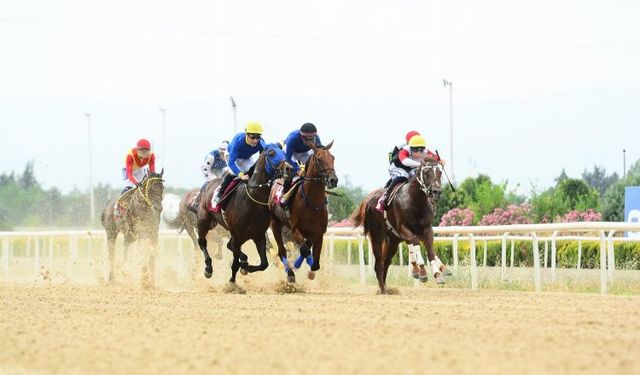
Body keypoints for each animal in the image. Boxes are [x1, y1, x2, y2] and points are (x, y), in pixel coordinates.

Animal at [196, 145, 294, 286]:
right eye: (271, 153)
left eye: (283, 151)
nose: (289, 168)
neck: (252, 201)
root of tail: (208, 183)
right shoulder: (237, 236)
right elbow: (235, 264)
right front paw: (231, 283)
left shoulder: (259, 236)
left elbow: (264, 264)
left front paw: (245, 267)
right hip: (204, 221)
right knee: (202, 242)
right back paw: (208, 268)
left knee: (228, 245)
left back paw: (243, 260)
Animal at [270, 142, 340, 284]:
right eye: (319, 159)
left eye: (333, 158)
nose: (333, 180)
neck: (311, 203)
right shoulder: (295, 230)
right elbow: (304, 250)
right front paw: (296, 267)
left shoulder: (319, 233)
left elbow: (314, 261)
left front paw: (311, 271)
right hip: (276, 224)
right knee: (282, 251)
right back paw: (290, 272)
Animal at [350, 157, 450, 296]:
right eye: (426, 173)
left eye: (440, 172)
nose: (437, 191)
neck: (415, 201)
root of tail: (368, 199)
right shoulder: (403, 229)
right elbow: (415, 242)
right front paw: (422, 272)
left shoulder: (426, 229)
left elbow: (430, 250)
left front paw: (438, 274)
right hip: (377, 236)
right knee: (379, 263)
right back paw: (383, 289)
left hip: (393, 241)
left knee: (386, 262)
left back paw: (386, 288)